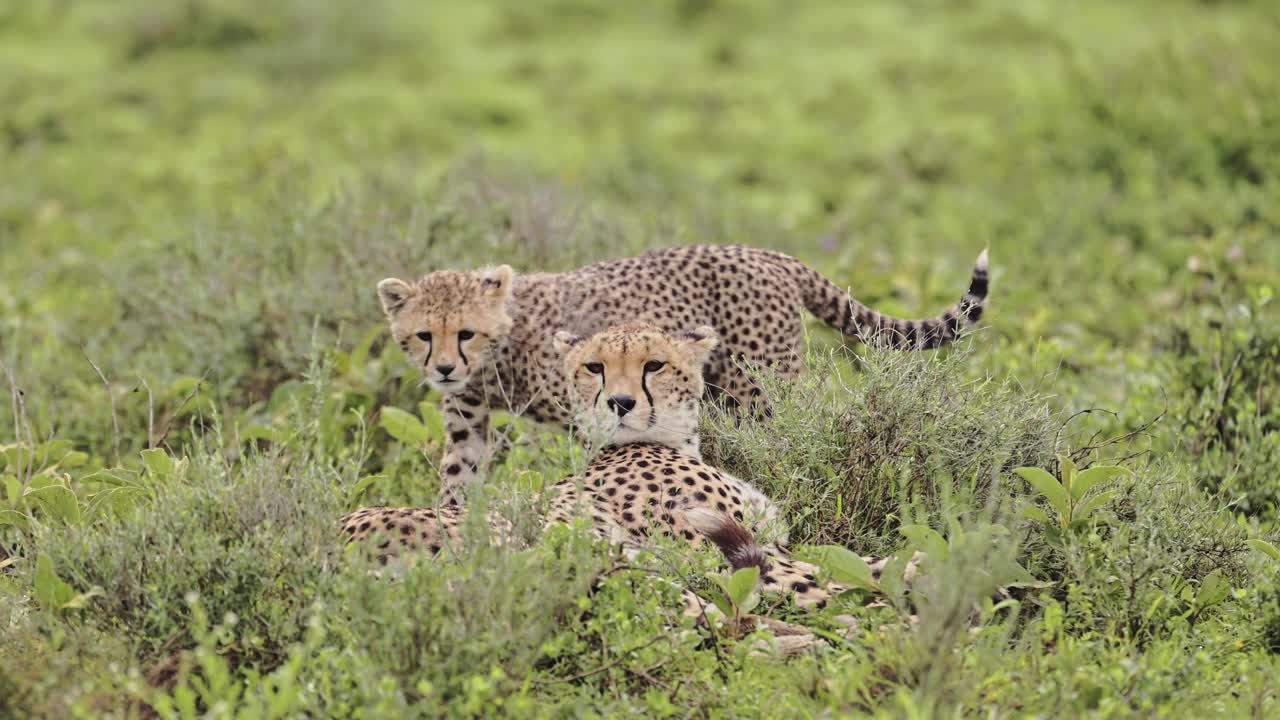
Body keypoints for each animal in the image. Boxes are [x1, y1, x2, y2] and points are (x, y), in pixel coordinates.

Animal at [376, 244, 989, 502]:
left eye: (465, 333)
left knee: (791, 446)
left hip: (759, 391)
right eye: (424, 335)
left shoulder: (594, 416)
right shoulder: (467, 423)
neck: (502, 347)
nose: (445, 369)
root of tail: (763, 252)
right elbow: (458, 476)